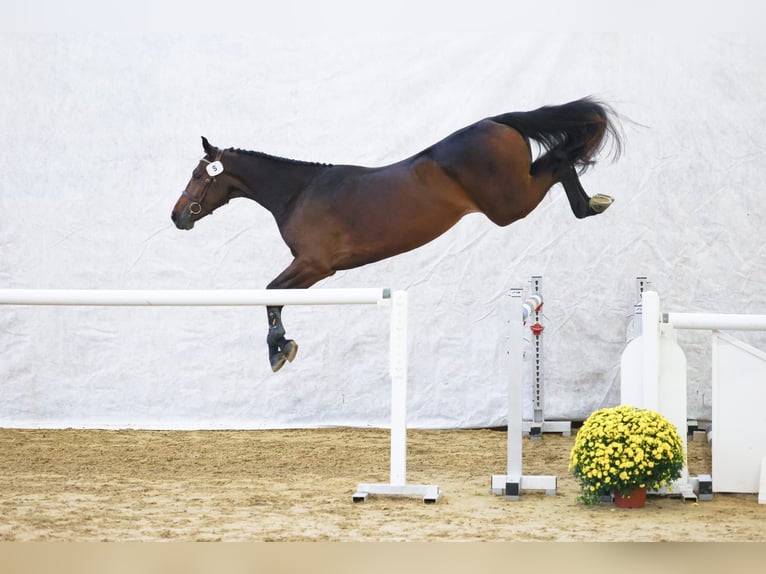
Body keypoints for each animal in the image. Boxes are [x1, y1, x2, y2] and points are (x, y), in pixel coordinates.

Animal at [172, 97, 624, 374]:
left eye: (197, 175)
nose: (177, 216)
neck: (298, 192)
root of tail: (495, 121)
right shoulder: (313, 267)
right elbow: (274, 296)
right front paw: (280, 346)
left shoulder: (315, 265)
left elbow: (271, 294)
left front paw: (279, 349)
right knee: (560, 160)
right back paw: (594, 202)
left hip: (510, 206)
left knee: (561, 161)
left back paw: (591, 202)